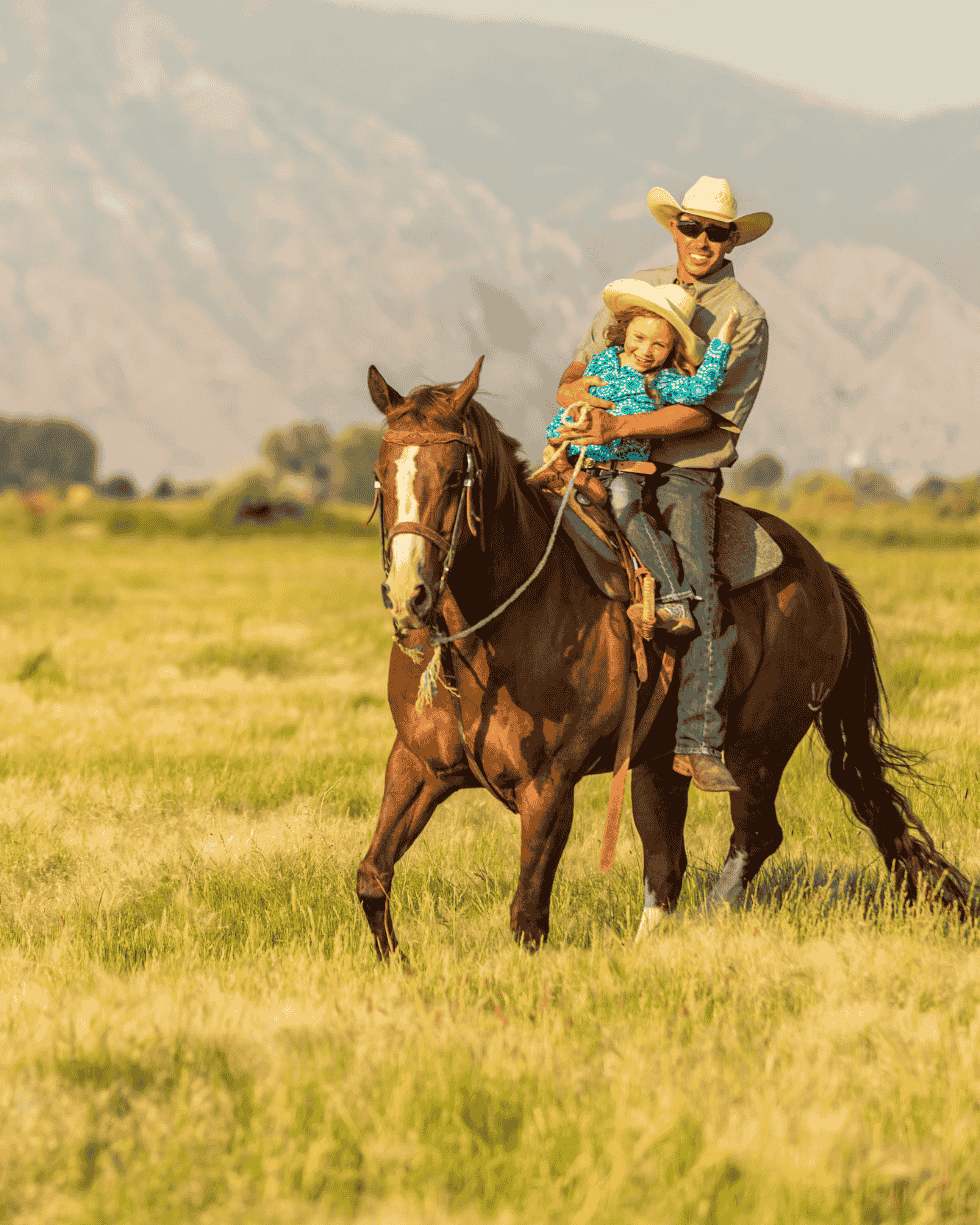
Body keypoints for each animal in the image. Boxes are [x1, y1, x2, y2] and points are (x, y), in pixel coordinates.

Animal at [357, 357, 970, 955]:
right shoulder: (414, 767)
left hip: (760, 747)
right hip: (658, 761)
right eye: (381, 475)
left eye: (455, 477)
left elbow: (527, 915)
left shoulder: (550, 787)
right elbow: (372, 877)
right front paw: (399, 966)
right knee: (666, 858)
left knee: (754, 836)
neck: (484, 645)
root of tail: (822, 572)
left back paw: (707, 922)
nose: (410, 595)